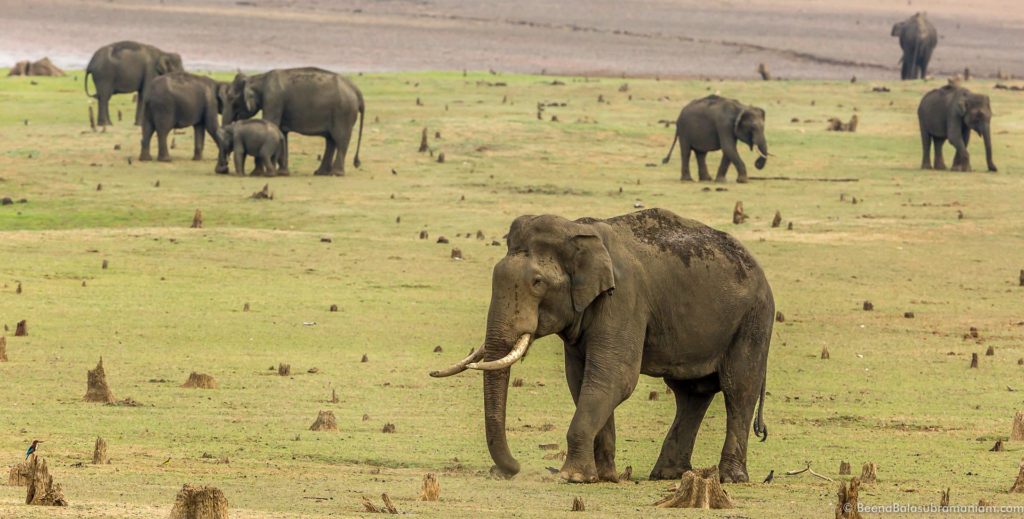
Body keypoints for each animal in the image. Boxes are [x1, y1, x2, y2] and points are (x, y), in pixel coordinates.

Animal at [222, 68, 366, 177]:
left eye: (231, 98)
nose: (223, 169)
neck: (259, 78)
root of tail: (356, 90)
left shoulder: (273, 99)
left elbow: (271, 122)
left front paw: (257, 174)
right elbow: (282, 132)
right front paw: (282, 173)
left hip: (343, 113)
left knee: (340, 139)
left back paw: (336, 173)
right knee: (330, 140)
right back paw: (321, 173)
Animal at [428, 208, 770, 485]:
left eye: (537, 282)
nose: (513, 469)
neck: (577, 229)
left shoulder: (624, 299)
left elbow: (614, 377)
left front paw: (573, 477)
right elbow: (581, 380)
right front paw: (602, 476)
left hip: (753, 321)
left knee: (739, 390)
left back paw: (731, 478)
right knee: (691, 393)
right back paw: (667, 474)